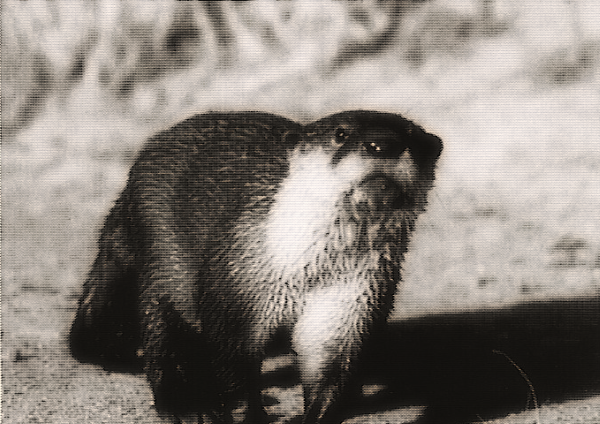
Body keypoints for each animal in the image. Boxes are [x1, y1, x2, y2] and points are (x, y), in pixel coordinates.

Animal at [70, 111, 442, 422]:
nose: (383, 143)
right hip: (160, 252)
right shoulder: (238, 285)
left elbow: (330, 365)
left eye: (412, 137)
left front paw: (316, 415)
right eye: (341, 134)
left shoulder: (353, 299)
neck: (308, 271)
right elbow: (233, 364)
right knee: (162, 329)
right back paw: (186, 405)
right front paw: (241, 412)